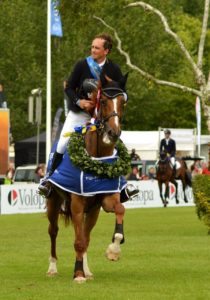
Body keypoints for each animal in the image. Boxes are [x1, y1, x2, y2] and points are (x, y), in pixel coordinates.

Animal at [43, 74, 129, 282]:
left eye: (123, 103)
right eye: (103, 101)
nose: (113, 133)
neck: (97, 158)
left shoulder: (105, 198)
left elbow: (120, 209)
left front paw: (113, 250)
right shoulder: (76, 204)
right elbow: (78, 241)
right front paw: (78, 274)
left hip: (93, 210)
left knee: (86, 235)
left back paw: (87, 270)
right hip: (53, 201)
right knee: (54, 231)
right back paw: (53, 267)